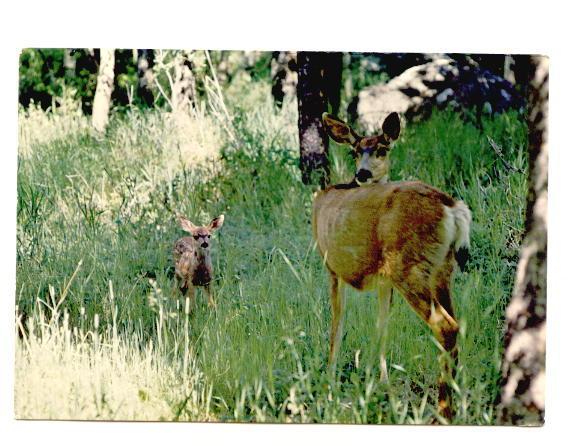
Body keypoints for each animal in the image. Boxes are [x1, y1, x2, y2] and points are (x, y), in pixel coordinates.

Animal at [310, 113, 470, 420]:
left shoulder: (332, 267)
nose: (362, 174)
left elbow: (337, 323)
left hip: (408, 267)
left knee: (446, 326)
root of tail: (452, 208)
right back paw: (454, 402)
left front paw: (330, 382)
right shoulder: (383, 280)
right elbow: (382, 324)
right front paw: (380, 382)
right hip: (441, 269)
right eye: (355, 151)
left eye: (382, 149)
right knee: (456, 326)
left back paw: (443, 411)